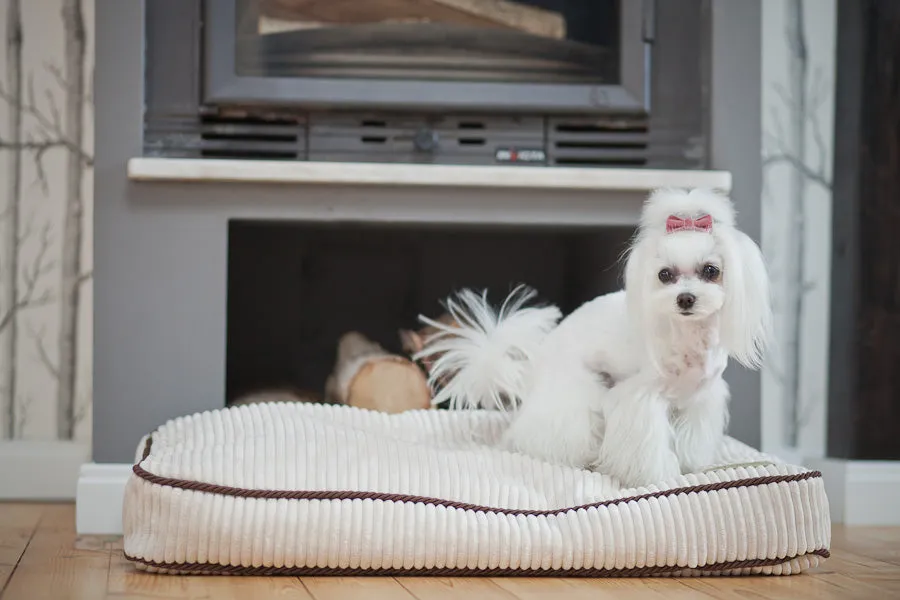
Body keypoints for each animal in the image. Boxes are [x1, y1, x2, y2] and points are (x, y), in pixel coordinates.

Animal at [414, 188, 772, 488]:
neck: (685, 337)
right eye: (664, 275)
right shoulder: (639, 399)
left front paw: (689, 466)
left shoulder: (699, 400)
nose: (685, 298)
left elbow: (691, 440)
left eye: (711, 271)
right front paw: (655, 478)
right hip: (578, 393)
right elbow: (647, 447)